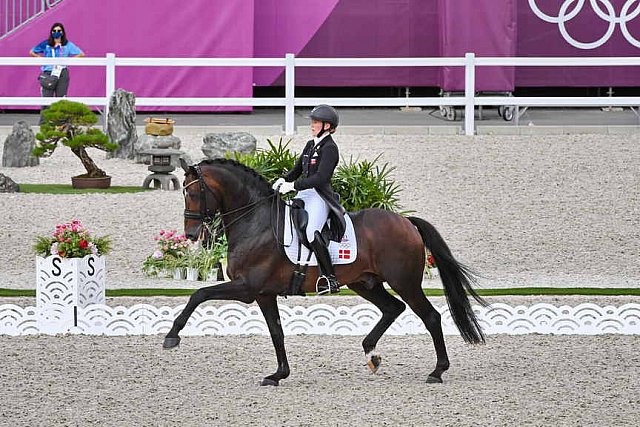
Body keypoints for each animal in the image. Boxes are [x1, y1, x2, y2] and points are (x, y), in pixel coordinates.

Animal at [164, 160, 484, 388]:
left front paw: (172, 336)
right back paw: (371, 354)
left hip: (404, 282)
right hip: (365, 283)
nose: (191, 234)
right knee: (393, 308)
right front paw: (278, 375)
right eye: (184, 192)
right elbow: (277, 332)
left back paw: (437, 371)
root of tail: (406, 221)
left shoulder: (246, 287)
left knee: (430, 317)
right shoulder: (263, 293)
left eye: (194, 192)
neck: (256, 221)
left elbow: (199, 294)